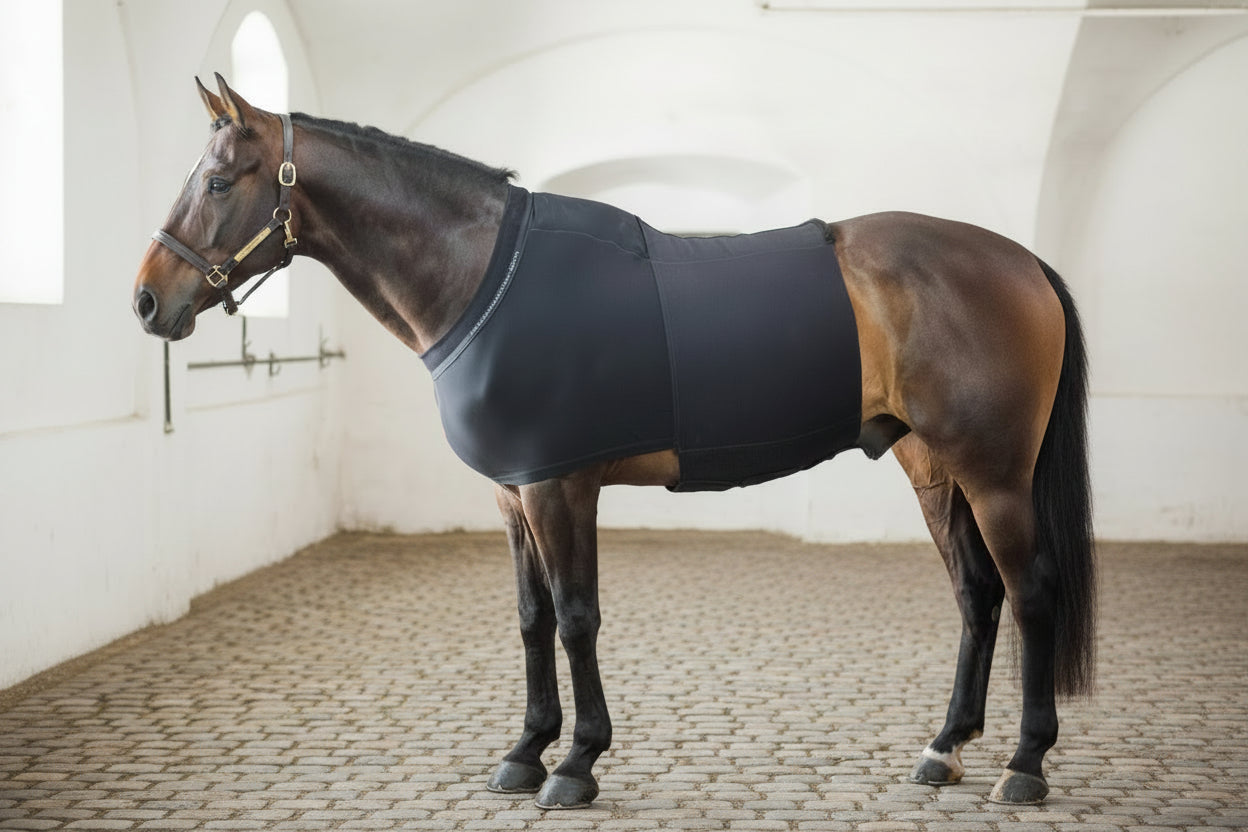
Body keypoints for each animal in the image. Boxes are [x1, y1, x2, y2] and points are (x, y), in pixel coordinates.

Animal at [133, 75, 1096, 810]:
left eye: (220, 183)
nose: (147, 300)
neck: (484, 276)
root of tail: (1021, 261)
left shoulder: (561, 485)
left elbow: (575, 616)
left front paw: (577, 763)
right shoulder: (513, 491)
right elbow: (530, 620)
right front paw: (525, 752)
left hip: (995, 475)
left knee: (1030, 593)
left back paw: (1025, 765)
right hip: (932, 467)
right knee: (977, 595)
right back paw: (945, 747)